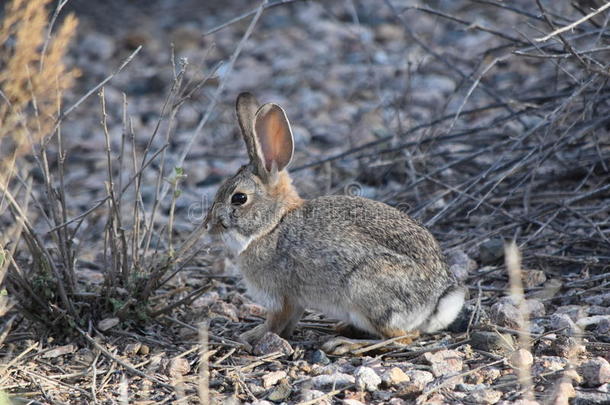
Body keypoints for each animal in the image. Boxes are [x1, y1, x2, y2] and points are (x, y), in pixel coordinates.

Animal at [204, 92, 466, 348]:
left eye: (239, 198)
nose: (209, 226)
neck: (273, 226)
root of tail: (436, 302)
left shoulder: (281, 297)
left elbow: (274, 322)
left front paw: (251, 336)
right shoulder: (295, 301)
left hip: (364, 291)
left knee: (401, 338)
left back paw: (345, 343)